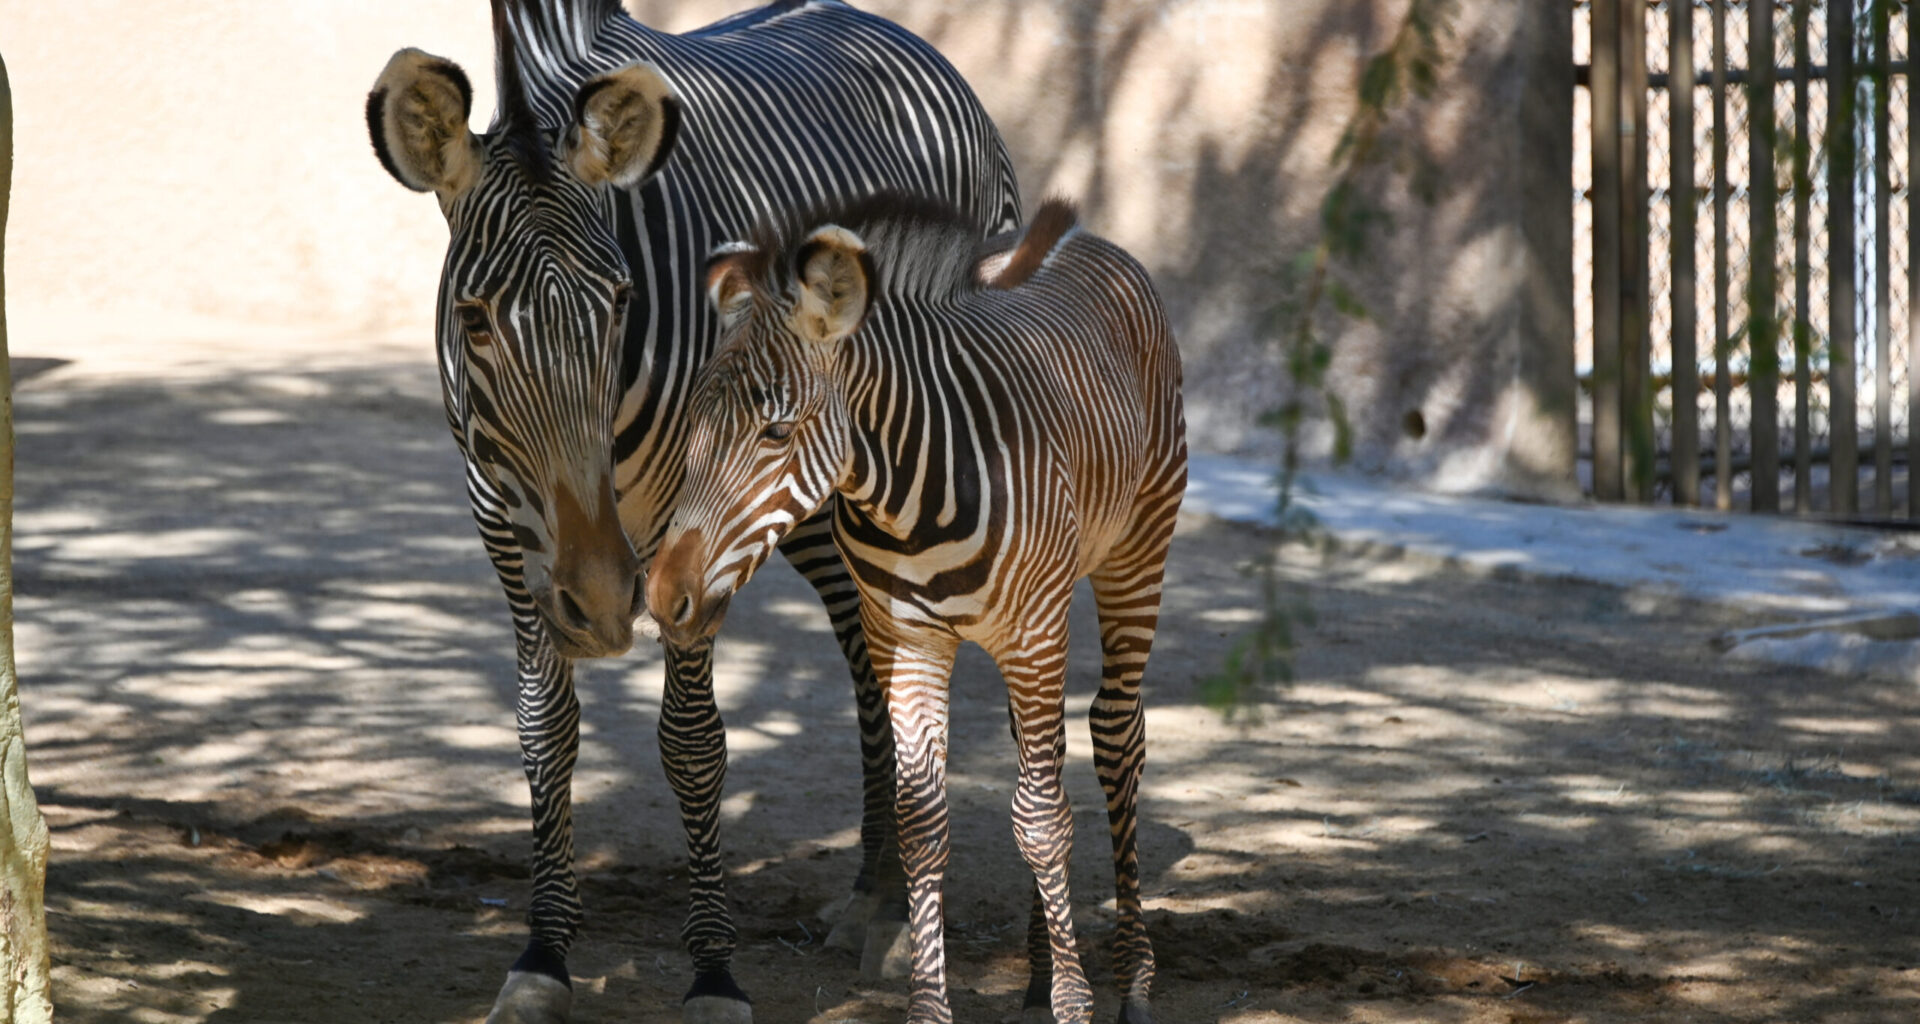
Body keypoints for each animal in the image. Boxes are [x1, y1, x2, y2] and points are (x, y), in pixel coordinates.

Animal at [362, 2, 1020, 1021]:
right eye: (472, 321)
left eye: (622, 300)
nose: (603, 601)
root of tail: (890, 30)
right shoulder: (504, 525)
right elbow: (545, 730)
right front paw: (543, 955)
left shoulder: (689, 518)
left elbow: (693, 744)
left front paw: (714, 970)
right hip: (822, 504)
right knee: (866, 653)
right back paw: (873, 900)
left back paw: (897, 919)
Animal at [647, 192, 1185, 1024]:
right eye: (695, 423)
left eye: (776, 431)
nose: (661, 595)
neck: (911, 494)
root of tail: (1087, 238)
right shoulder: (904, 638)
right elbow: (924, 820)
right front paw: (933, 1005)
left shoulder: (1031, 634)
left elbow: (1040, 822)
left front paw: (1075, 1003)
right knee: (1048, 754)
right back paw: (1035, 977)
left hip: (1136, 557)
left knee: (1115, 739)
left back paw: (1128, 982)